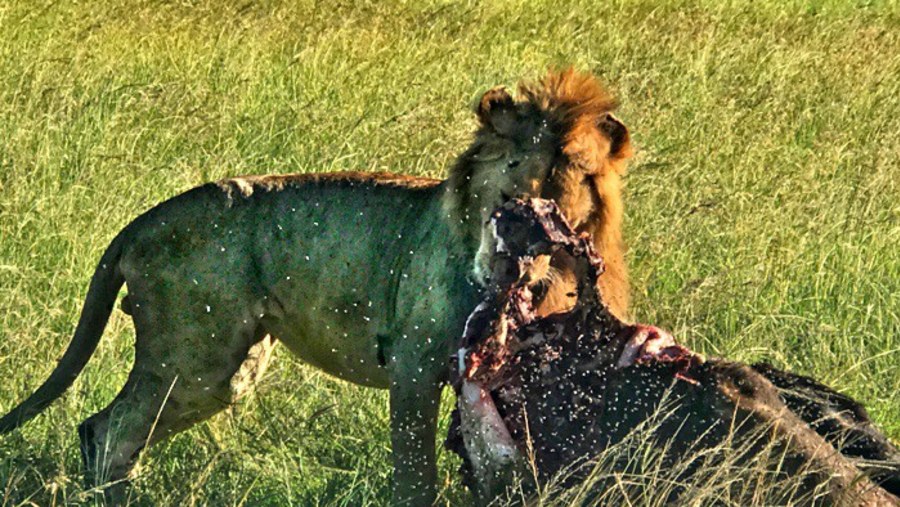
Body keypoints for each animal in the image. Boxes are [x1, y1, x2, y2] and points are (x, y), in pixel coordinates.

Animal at [0, 68, 632, 507]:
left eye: (565, 184)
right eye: (505, 192)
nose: (517, 257)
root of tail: (144, 219)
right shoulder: (412, 365)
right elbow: (415, 476)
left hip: (222, 370)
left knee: (110, 432)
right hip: (198, 358)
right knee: (107, 432)